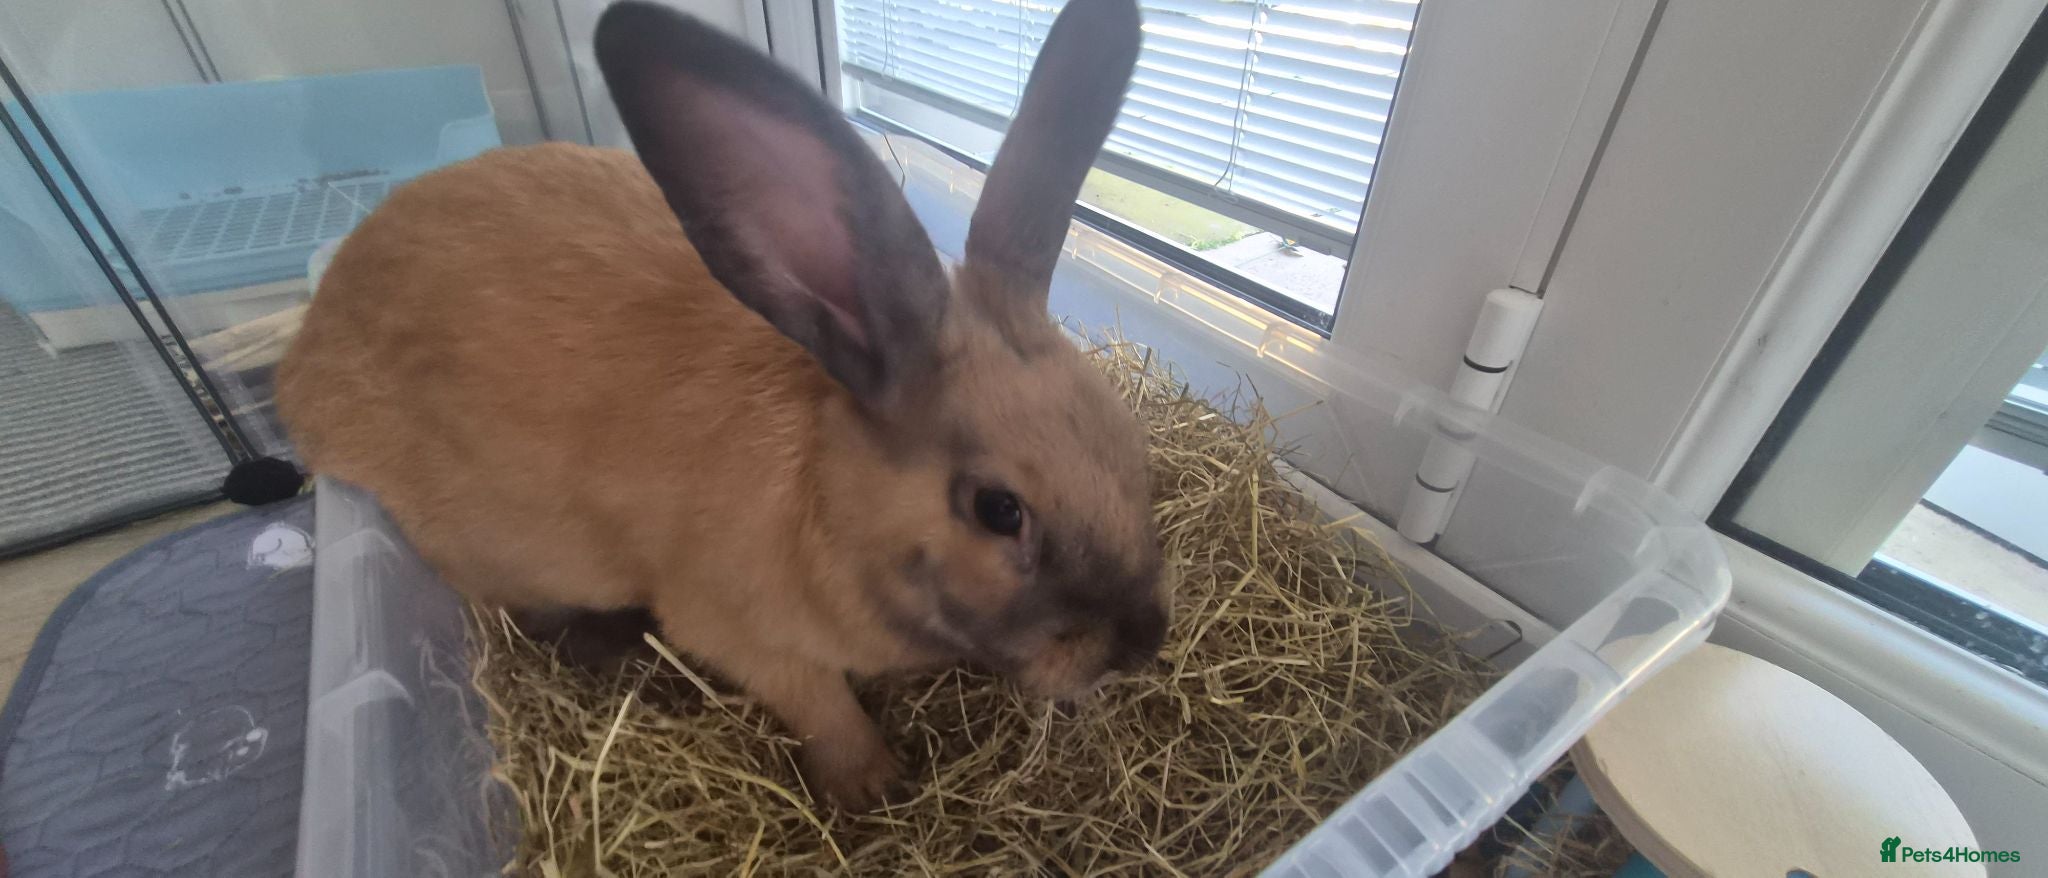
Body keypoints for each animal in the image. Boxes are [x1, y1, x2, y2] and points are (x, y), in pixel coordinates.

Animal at [275, 0, 1162, 809]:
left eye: (1129, 443)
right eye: (998, 510)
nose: (1142, 644)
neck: (829, 500)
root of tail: (306, 348)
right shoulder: (744, 636)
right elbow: (824, 708)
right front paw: (872, 786)